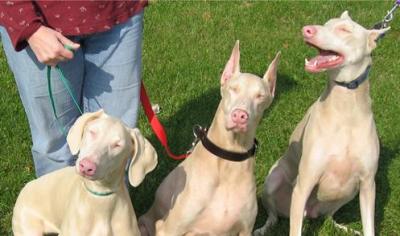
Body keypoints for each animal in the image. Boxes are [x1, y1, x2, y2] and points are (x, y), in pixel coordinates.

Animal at [139, 40, 280, 236]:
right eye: (233, 89)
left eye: (260, 96)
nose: (240, 116)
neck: (229, 157)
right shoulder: (169, 228)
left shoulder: (245, 229)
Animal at [255, 10, 390, 236]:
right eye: (326, 24)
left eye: (344, 30)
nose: (307, 29)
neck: (346, 109)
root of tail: (310, 212)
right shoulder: (304, 184)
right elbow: (294, 230)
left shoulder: (367, 184)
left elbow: (369, 226)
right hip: (274, 180)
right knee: (273, 214)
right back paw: (264, 228)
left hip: (349, 192)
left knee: (329, 215)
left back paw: (344, 227)